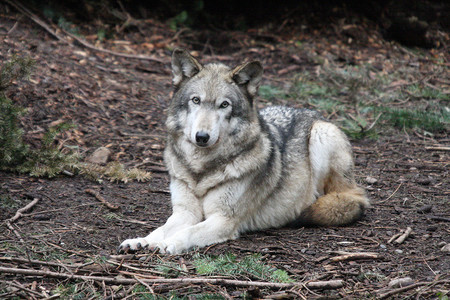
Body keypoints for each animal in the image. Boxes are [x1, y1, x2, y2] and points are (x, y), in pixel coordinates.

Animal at [118, 48, 370, 253]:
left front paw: (166, 244)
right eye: (196, 100)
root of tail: (313, 112)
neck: (200, 171)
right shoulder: (184, 213)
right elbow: (161, 228)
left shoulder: (223, 220)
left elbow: (187, 232)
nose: (202, 137)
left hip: (322, 134)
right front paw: (141, 240)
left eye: (224, 105)